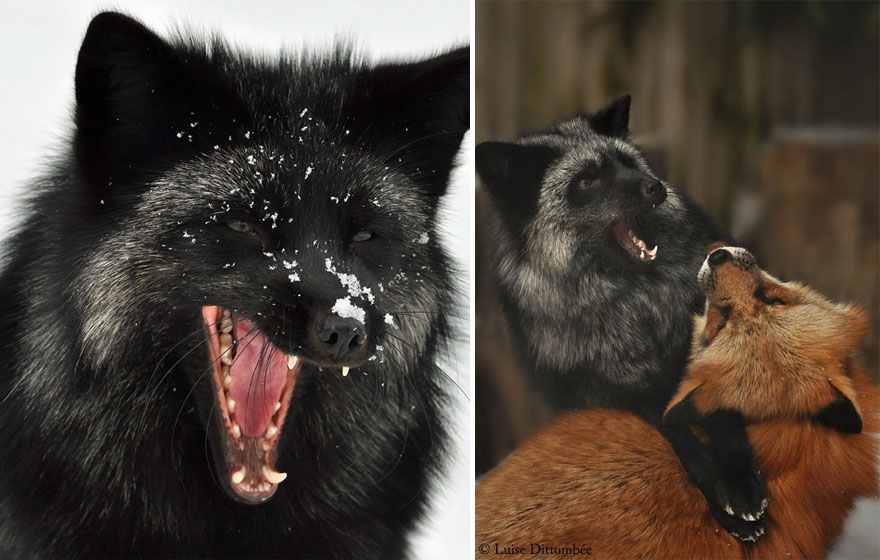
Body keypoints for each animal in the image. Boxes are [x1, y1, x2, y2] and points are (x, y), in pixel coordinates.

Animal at [475, 245, 878, 559]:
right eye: (722, 320)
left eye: (771, 299)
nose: (717, 256)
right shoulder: (646, 394)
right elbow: (707, 431)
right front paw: (738, 494)